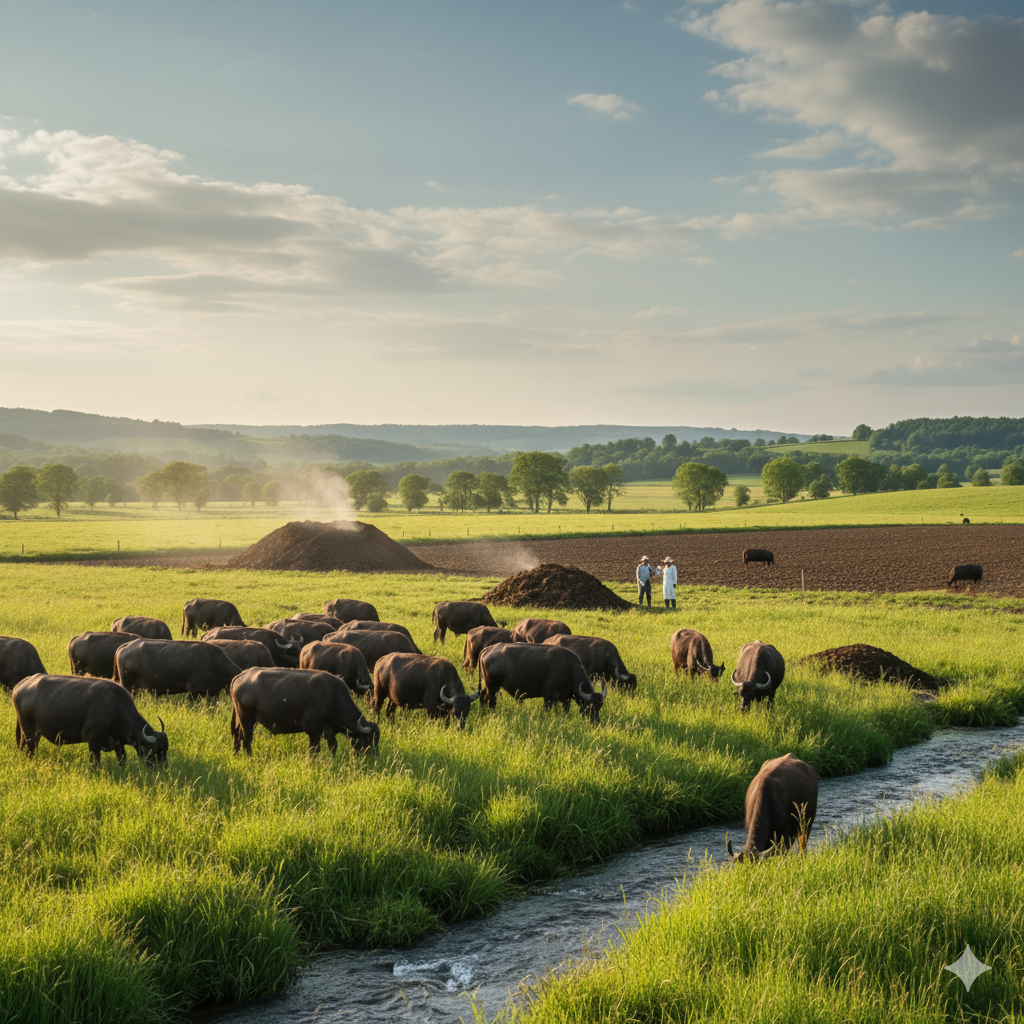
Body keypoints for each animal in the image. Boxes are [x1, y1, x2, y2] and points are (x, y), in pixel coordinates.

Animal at [13, 673, 168, 766]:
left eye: (165, 749)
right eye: (155, 750)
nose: (163, 767)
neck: (115, 708)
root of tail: (20, 685)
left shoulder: (118, 744)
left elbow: (122, 759)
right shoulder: (93, 742)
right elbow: (95, 762)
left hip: (35, 732)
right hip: (28, 731)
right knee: (30, 748)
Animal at [230, 667, 379, 755]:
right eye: (367, 739)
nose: (374, 756)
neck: (333, 698)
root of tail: (241, 675)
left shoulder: (329, 733)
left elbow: (333, 747)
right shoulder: (313, 732)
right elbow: (314, 750)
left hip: (248, 721)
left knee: (238, 735)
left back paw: (236, 755)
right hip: (246, 720)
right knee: (246, 739)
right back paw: (249, 757)